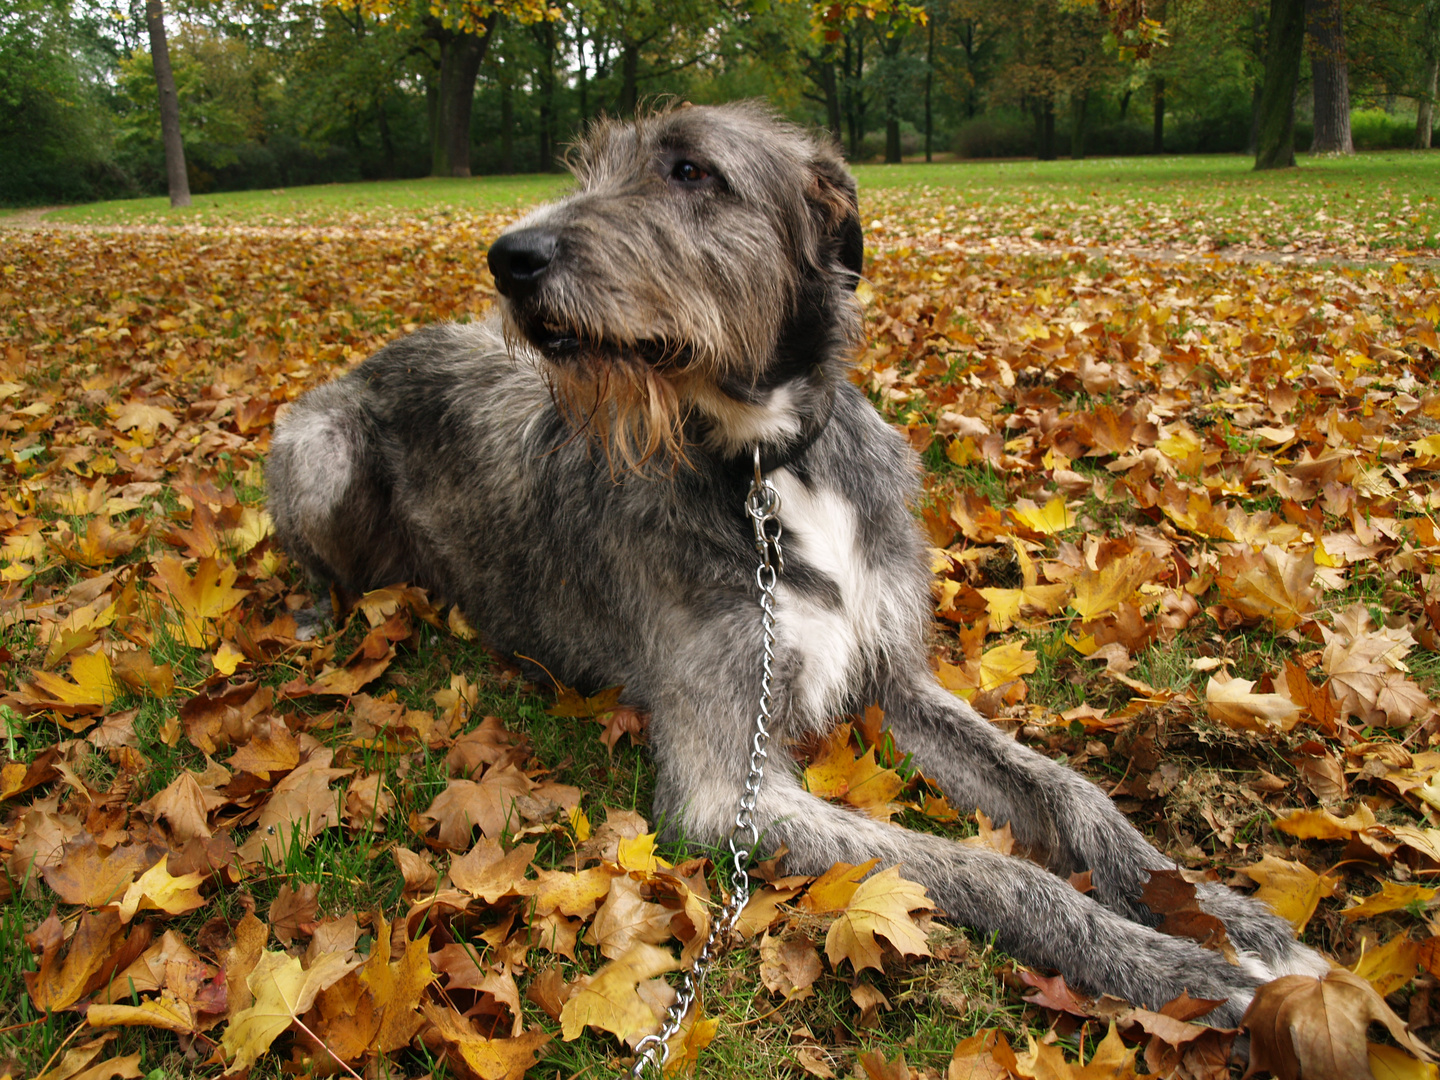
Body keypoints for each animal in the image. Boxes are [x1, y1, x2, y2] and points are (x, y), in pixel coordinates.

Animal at [267, 101, 1324, 1031]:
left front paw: (1234, 919)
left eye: (690, 169)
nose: (509, 258)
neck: (769, 471)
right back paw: (325, 614)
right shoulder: (728, 791)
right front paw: (1182, 969)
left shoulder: (892, 675)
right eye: (589, 167)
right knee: (315, 563)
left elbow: (1069, 789)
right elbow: (994, 867)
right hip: (317, 448)